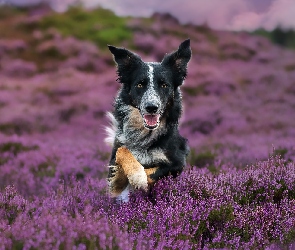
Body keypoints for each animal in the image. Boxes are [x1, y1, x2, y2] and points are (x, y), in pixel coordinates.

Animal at [106, 38, 192, 201]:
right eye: (140, 84)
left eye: (164, 85)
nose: (151, 107)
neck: (145, 134)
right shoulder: (115, 155)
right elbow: (122, 151)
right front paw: (129, 176)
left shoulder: (177, 163)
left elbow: (152, 173)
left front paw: (138, 179)